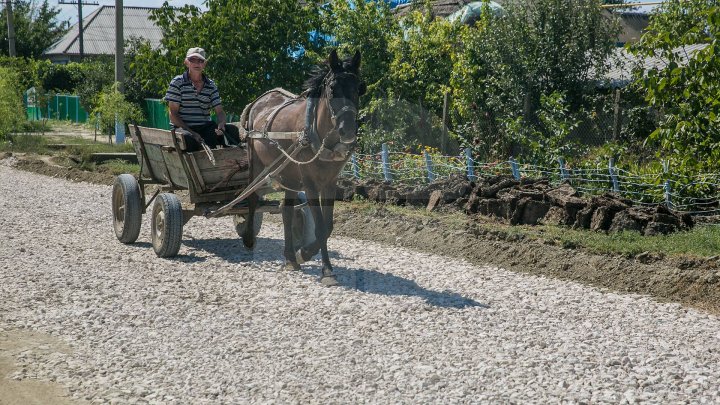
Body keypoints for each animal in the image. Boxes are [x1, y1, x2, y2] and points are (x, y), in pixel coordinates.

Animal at [243, 49, 366, 284]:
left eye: (358, 88)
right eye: (332, 88)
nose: (348, 130)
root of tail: (259, 101)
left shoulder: (330, 183)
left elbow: (328, 225)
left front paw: (304, 254)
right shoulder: (310, 184)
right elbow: (319, 226)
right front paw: (326, 270)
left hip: (289, 174)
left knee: (286, 211)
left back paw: (291, 257)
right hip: (256, 164)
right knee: (251, 200)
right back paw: (249, 239)